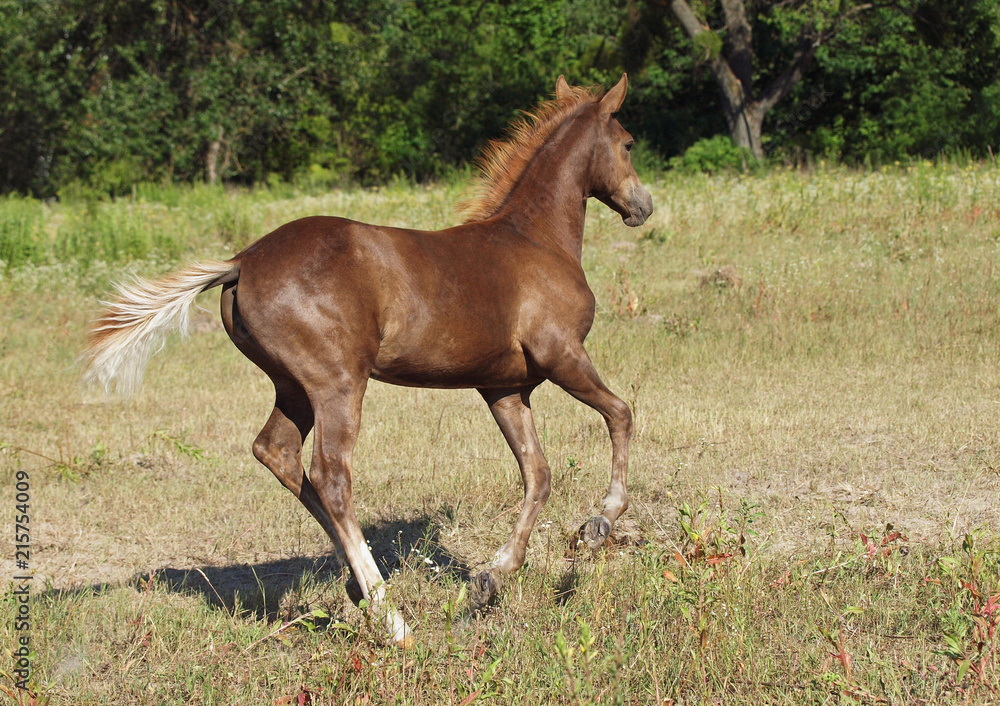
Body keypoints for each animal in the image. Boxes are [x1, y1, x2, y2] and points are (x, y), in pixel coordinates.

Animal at [83, 74, 653, 647]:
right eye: (628, 143)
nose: (642, 205)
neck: (535, 239)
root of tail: (241, 261)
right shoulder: (562, 355)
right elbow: (620, 415)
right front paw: (599, 524)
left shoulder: (505, 389)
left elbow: (538, 474)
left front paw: (491, 578)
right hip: (337, 384)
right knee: (331, 475)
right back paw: (391, 617)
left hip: (293, 387)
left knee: (278, 453)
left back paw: (359, 589)